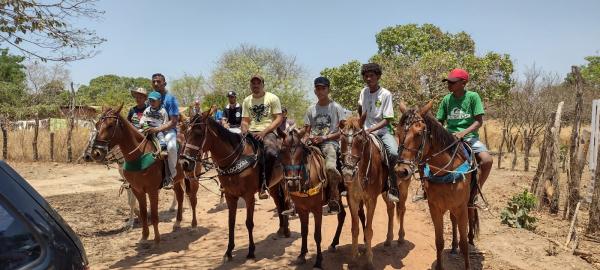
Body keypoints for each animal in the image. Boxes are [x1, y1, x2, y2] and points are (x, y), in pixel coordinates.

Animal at [89, 104, 199, 244]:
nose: (96, 153)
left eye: (110, 125)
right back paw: (177, 222)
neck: (139, 154)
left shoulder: (152, 190)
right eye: (97, 125)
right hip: (176, 180)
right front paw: (144, 236)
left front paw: (156, 240)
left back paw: (194, 225)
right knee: (180, 195)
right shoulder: (136, 189)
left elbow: (154, 215)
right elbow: (141, 211)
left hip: (192, 177)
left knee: (192, 198)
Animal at [178, 108, 290, 260]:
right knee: (279, 202)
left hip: (285, 182)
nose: (184, 163)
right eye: (185, 133)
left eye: (199, 133)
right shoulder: (230, 196)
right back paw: (281, 229)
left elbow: (249, 223)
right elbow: (231, 222)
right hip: (273, 186)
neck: (236, 159)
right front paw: (229, 251)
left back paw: (287, 230)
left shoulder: (249, 196)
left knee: (285, 202)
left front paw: (251, 251)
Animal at [278, 128, 364, 268]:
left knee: (361, 215)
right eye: (281, 152)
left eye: (301, 154)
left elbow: (317, 235)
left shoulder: (317, 209)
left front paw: (318, 261)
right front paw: (302, 255)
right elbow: (304, 231)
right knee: (342, 215)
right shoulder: (301, 209)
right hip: (337, 197)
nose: (292, 184)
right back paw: (334, 243)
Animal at [338, 114, 408, 268]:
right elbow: (355, 229)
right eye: (342, 139)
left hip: (404, 188)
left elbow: (369, 230)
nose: (347, 173)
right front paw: (353, 259)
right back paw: (388, 240)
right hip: (385, 192)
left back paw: (400, 237)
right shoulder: (352, 199)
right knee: (390, 209)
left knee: (402, 209)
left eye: (360, 140)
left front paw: (369, 261)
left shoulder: (371, 200)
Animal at [396, 102, 480, 270]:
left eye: (419, 133)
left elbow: (464, 245)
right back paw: (453, 247)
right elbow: (439, 241)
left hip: (467, 204)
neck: (446, 171)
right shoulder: (435, 207)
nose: (401, 171)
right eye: (397, 132)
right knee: (453, 220)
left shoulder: (461, 207)